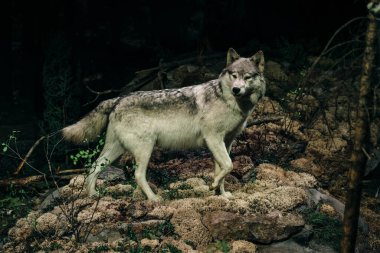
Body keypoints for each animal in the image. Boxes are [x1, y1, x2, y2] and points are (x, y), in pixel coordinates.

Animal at [62, 48, 266, 201]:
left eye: (247, 77)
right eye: (234, 75)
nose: (236, 89)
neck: (230, 102)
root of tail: (118, 98)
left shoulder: (226, 142)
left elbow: (222, 169)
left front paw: (221, 194)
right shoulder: (213, 139)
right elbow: (229, 166)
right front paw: (214, 185)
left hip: (116, 150)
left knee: (93, 168)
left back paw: (92, 196)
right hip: (145, 149)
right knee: (138, 175)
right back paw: (154, 199)